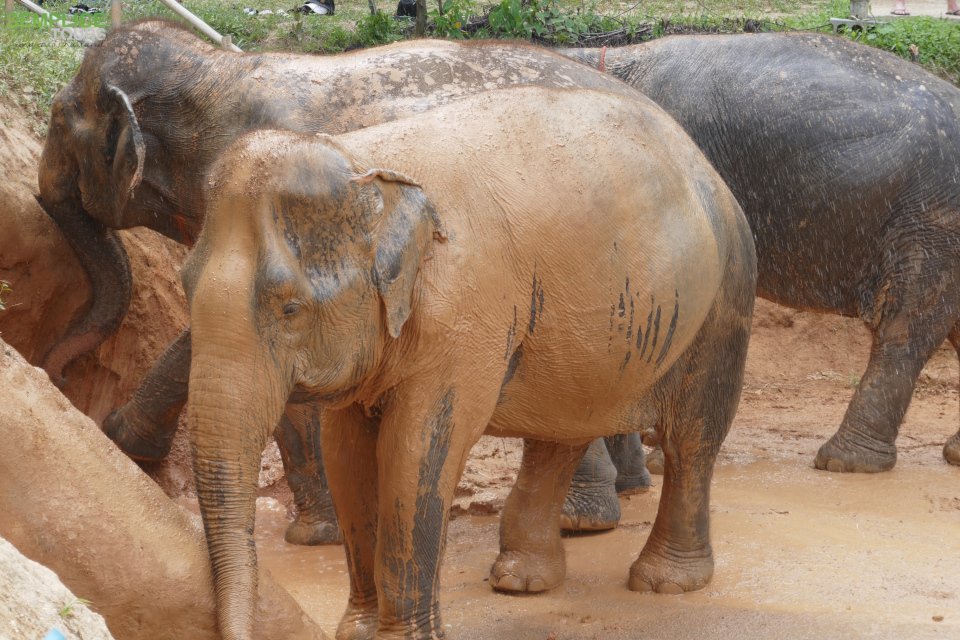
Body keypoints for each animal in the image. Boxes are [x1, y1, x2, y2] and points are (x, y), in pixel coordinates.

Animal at [178, 86, 752, 640]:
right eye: (184, 283)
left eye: (290, 309)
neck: (367, 163)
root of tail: (700, 160)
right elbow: (345, 452)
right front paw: (357, 632)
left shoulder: (464, 313)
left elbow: (416, 449)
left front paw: (399, 639)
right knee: (562, 429)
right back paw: (522, 580)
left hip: (724, 293)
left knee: (692, 438)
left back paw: (664, 583)